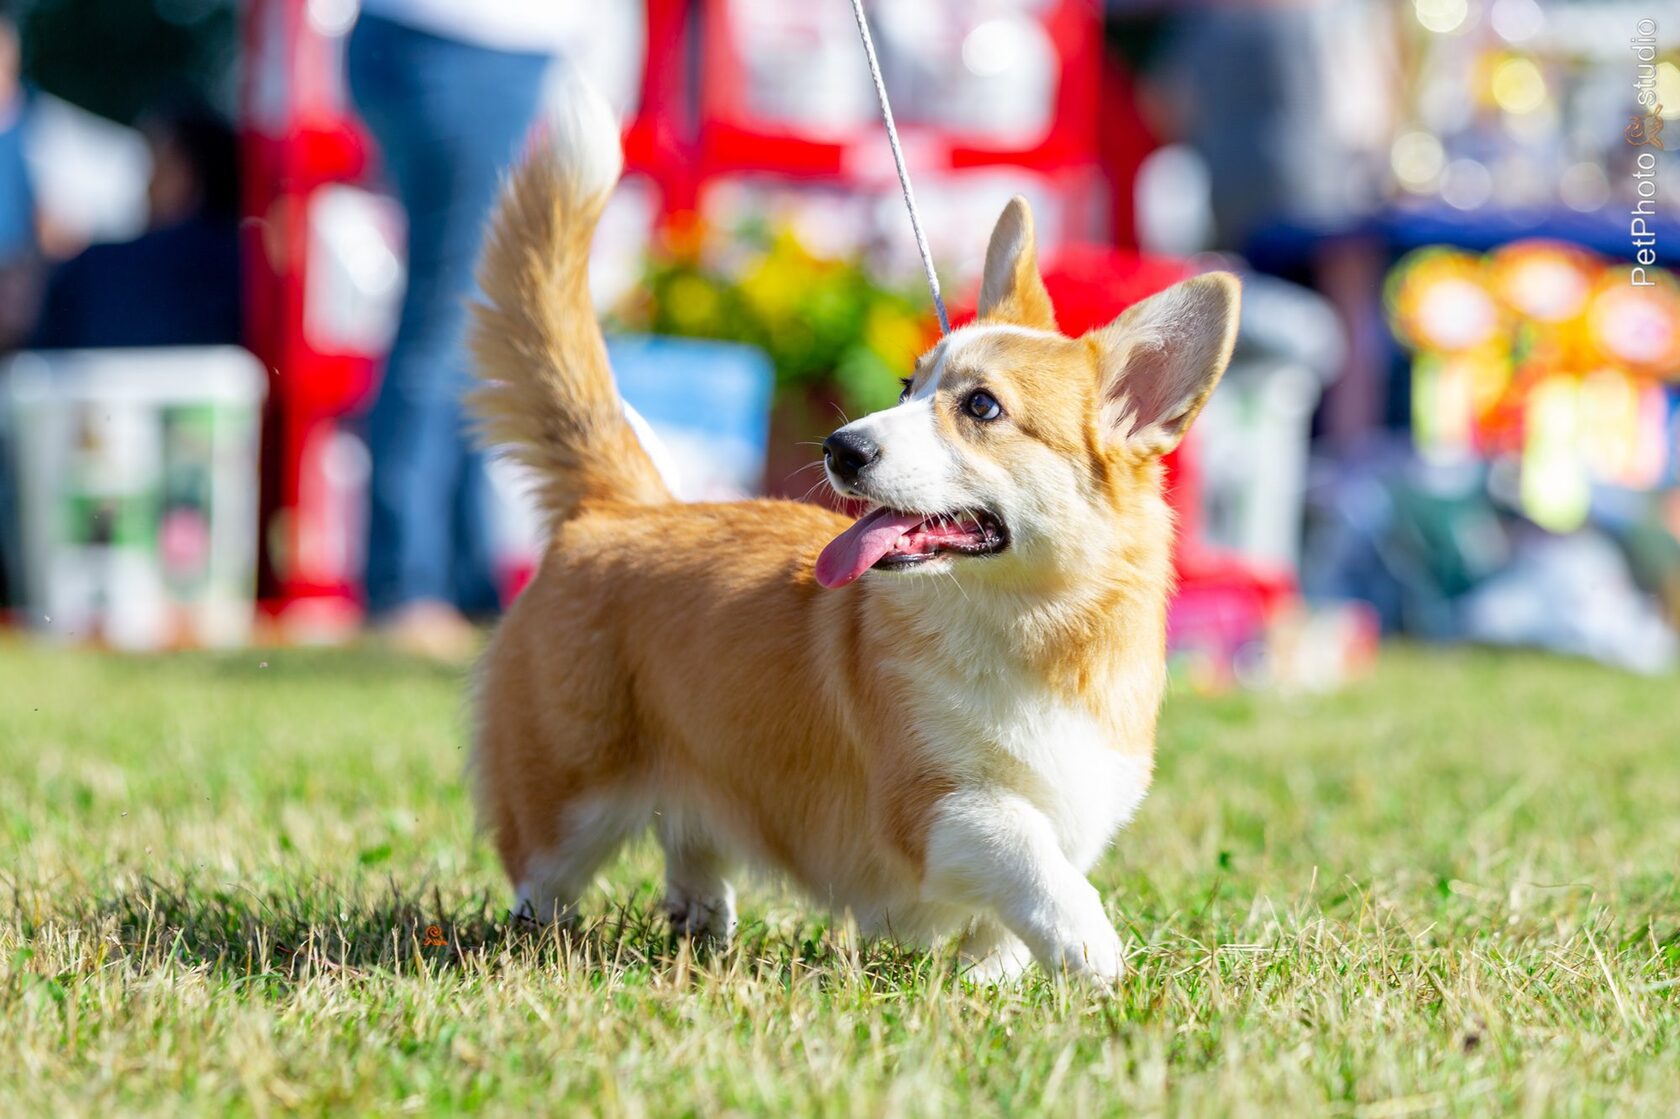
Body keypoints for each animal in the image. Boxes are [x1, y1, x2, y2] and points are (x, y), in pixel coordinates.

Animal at [467, 84, 1243, 974]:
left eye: (981, 406)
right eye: (908, 384)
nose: (839, 447)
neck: (1028, 624)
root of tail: (625, 504)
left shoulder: (1077, 800)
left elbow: (1007, 922)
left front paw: (995, 978)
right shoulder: (934, 805)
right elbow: (1028, 853)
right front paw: (1095, 950)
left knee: (690, 834)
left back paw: (703, 918)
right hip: (569, 787)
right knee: (543, 868)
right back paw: (537, 936)